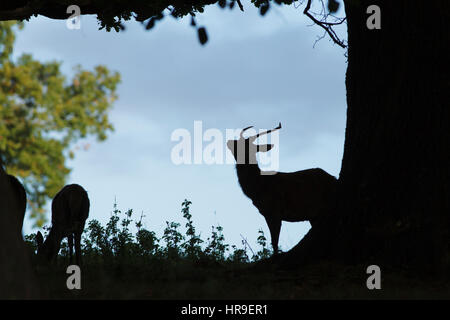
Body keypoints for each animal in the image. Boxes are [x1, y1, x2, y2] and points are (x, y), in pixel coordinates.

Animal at [229, 123, 338, 255]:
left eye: (246, 146)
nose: (229, 142)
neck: (258, 189)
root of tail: (335, 179)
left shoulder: (276, 210)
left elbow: (274, 241)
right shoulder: (266, 213)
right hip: (315, 215)